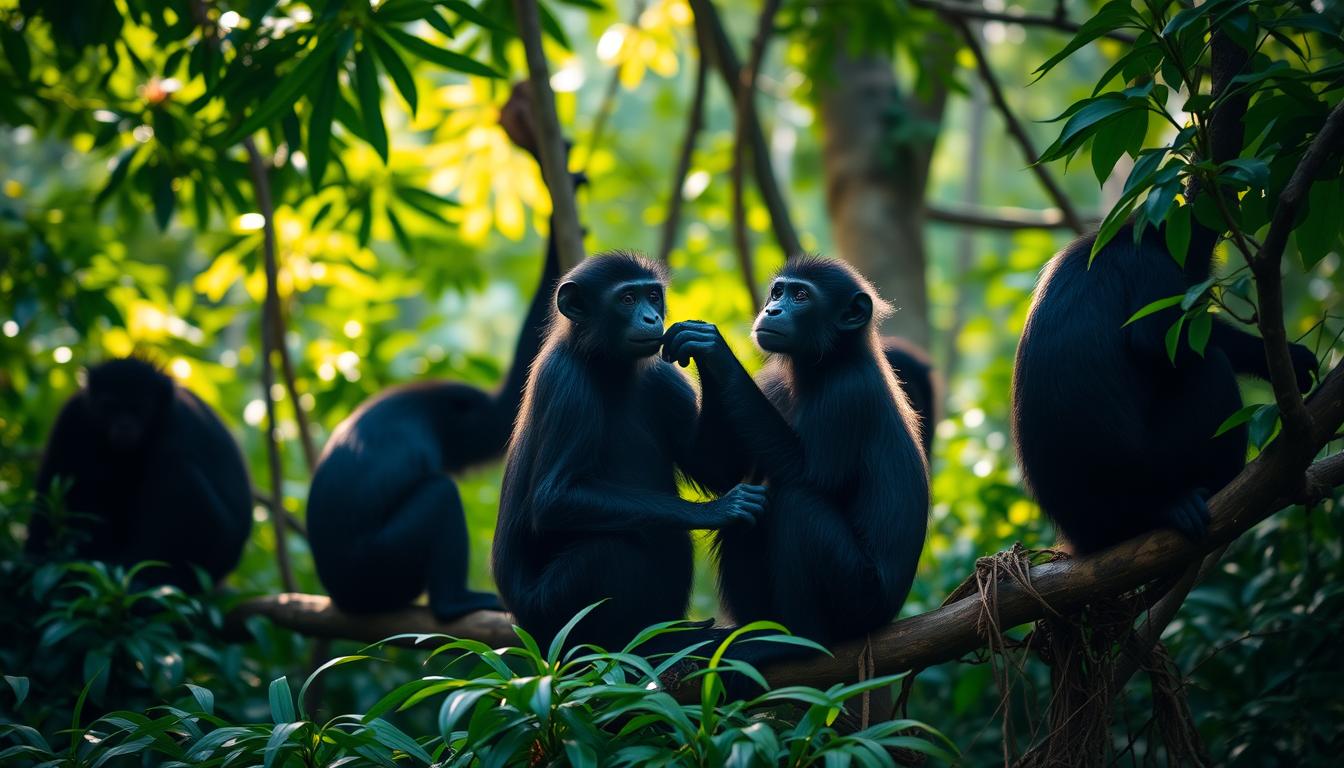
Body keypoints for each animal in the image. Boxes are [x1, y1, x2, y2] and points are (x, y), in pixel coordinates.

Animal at [28, 357, 254, 591]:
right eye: (110, 407)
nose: (124, 425)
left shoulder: (176, 427)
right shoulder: (73, 414)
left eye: (138, 409)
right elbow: (52, 482)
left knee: (178, 475)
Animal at [494, 252, 768, 648]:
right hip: (548, 617)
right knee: (611, 547)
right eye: (626, 299)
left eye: (653, 297)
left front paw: (709, 347)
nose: (652, 318)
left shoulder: (661, 377)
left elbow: (715, 467)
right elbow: (552, 498)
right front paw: (719, 510)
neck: (606, 364)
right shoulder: (565, 381)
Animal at [663, 256, 935, 642]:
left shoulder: (848, 392)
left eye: (802, 296)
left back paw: (802, 640)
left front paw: (714, 350)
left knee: (798, 504)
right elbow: (721, 471)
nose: (772, 309)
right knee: (748, 516)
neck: (822, 365)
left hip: (859, 599)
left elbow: (809, 475)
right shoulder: (772, 384)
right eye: (779, 292)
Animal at [1010, 225, 1317, 556]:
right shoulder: (1150, 265)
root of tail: (1083, 535)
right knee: (1211, 366)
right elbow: (1161, 341)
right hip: (1160, 464)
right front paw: (1290, 357)